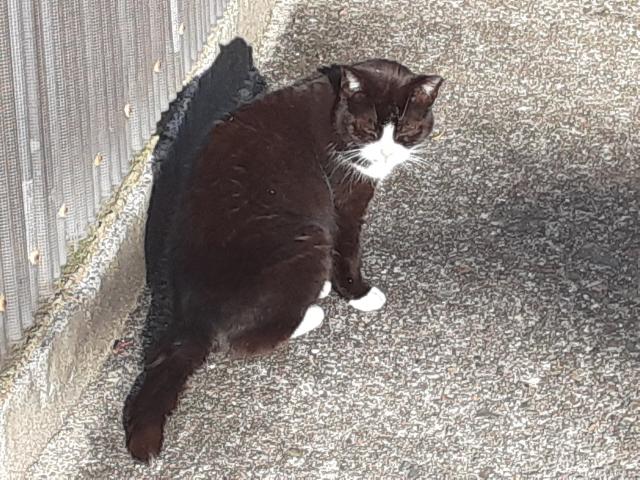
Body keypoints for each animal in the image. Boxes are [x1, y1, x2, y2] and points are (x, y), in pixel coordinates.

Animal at [124, 58, 443, 462]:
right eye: (370, 128)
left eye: (405, 130)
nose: (386, 154)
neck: (334, 107)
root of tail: (193, 318)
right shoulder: (345, 195)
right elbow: (348, 248)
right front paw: (360, 294)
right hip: (308, 237)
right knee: (246, 341)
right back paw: (312, 311)